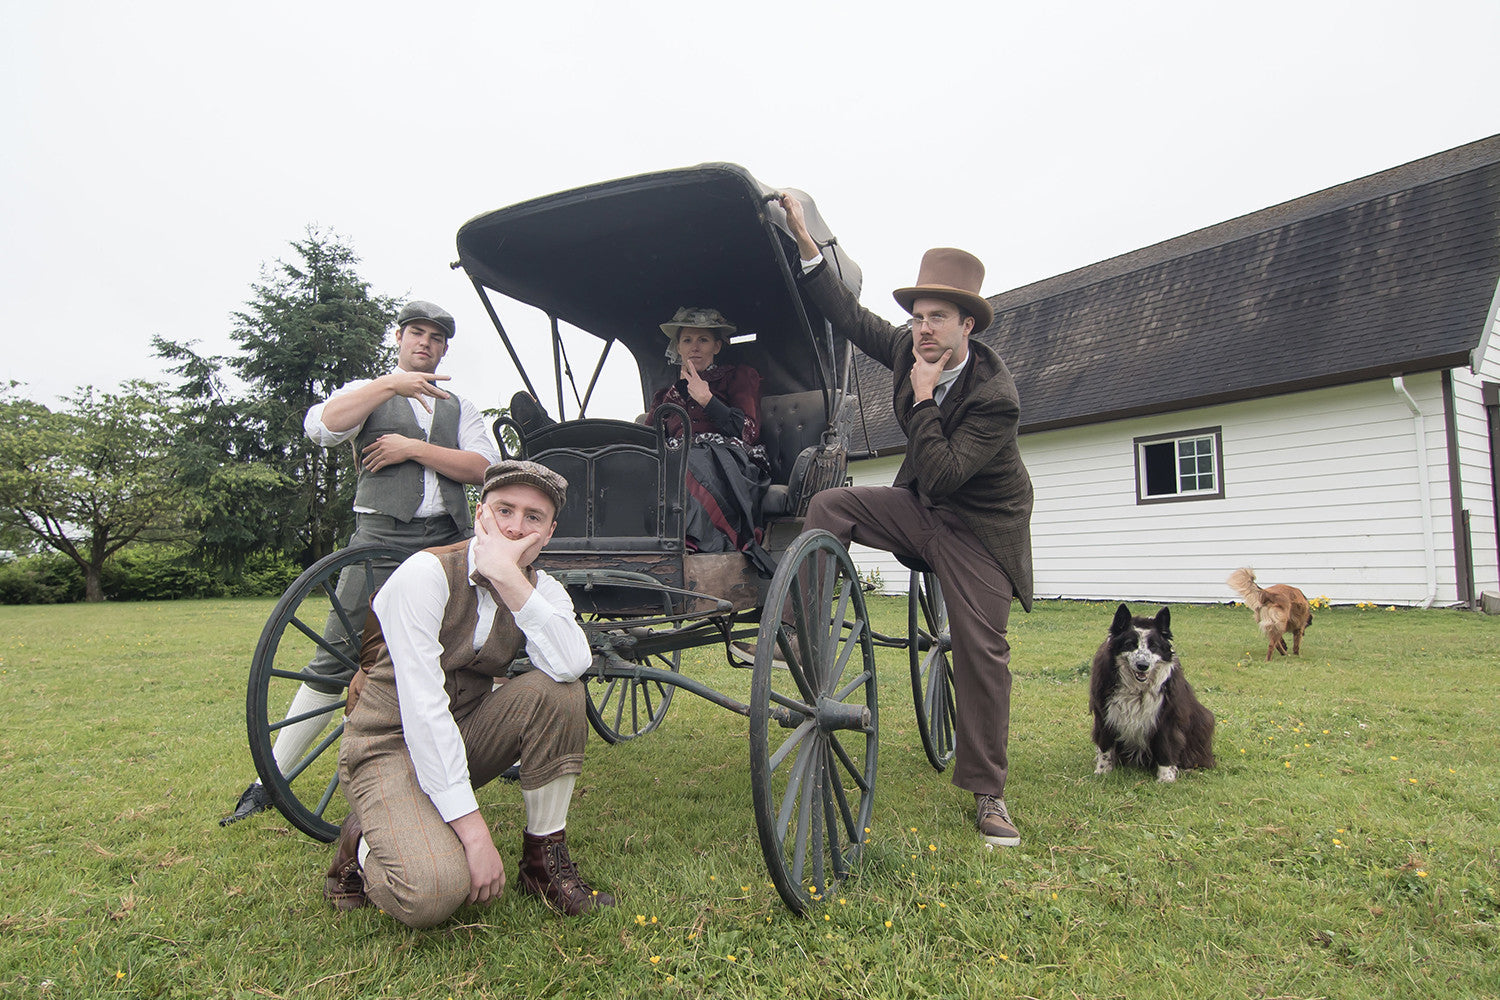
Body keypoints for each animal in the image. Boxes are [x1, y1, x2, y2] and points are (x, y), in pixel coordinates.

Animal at [1092, 602, 1218, 779]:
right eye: (1130, 644)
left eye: (1154, 646)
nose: (1142, 665)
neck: (1137, 690)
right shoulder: (1104, 715)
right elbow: (1105, 746)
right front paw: (1102, 771)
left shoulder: (1167, 718)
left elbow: (1167, 746)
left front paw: (1166, 777)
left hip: (1202, 721)